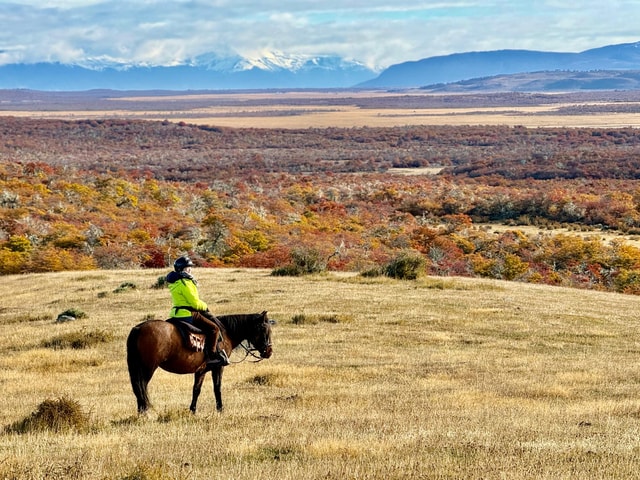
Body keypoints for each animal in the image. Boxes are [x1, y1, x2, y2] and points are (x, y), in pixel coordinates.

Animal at [126, 311, 273, 413]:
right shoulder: (218, 367)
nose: (269, 351)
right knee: (142, 387)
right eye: (264, 329)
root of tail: (138, 329)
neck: (226, 332)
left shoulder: (201, 370)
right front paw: (220, 409)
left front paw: (193, 410)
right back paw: (144, 411)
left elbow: (196, 390)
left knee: (138, 388)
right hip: (148, 368)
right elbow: (217, 388)